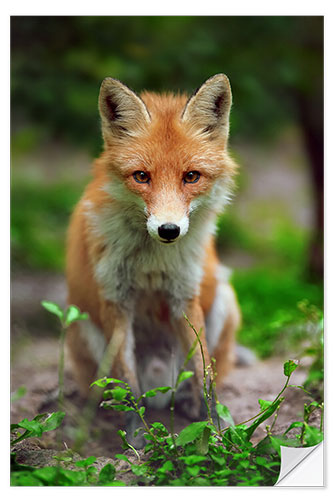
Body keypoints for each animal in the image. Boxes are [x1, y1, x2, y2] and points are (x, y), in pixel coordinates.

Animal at [65, 72, 241, 444]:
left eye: (191, 176)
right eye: (142, 176)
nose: (169, 230)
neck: (152, 261)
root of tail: (162, 388)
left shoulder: (183, 297)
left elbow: (205, 374)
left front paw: (216, 429)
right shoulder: (115, 301)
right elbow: (129, 386)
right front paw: (137, 439)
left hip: (223, 298)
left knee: (198, 377)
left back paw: (189, 405)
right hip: (81, 321)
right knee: (108, 390)